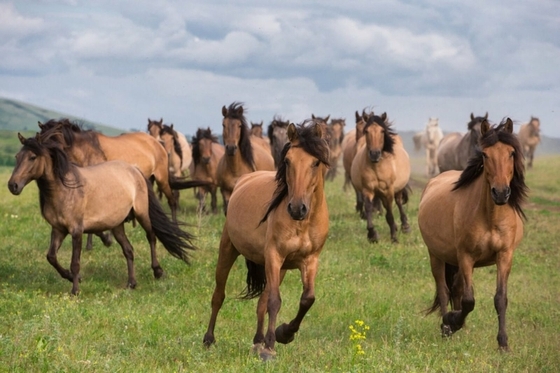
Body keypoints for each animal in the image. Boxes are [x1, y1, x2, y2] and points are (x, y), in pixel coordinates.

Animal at [7, 131, 198, 294]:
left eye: (32, 157)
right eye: (17, 157)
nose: (12, 185)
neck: (65, 189)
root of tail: (134, 170)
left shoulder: (76, 231)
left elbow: (75, 262)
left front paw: (75, 290)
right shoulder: (58, 230)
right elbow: (51, 257)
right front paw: (71, 277)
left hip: (142, 214)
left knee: (151, 236)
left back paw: (158, 271)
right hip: (117, 225)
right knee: (128, 250)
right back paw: (131, 283)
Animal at [203, 121, 330, 360]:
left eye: (316, 162)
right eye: (287, 161)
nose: (297, 208)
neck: (302, 223)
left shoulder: (310, 260)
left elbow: (307, 299)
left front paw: (284, 334)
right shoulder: (274, 256)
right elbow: (274, 301)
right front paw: (271, 347)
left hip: (280, 269)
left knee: (261, 301)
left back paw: (257, 341)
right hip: (228, 250)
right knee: (218, 295)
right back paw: (209, 339)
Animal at [350, 112, 412, 243]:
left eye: (382, 131)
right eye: (367, 131)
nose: (374, 154)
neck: (377, 167)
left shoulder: (388, 191)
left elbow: (389, 214)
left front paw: (394, 238)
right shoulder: (367, 190)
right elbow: (368, 208)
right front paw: (372, 235)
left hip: (398, 189)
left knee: (399, 203)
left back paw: (405, 226)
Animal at [418, 117, 528, 350]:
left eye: (511, 153)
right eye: (485, 154)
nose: (501, 193)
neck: (490, 216)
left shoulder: (504, 256)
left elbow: (500, 298)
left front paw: (503, 343)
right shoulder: (466, 256)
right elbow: (469, 301)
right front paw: (451, 320)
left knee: (456, 289)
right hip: (436, 256)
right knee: (444, 290)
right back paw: (447, 326)